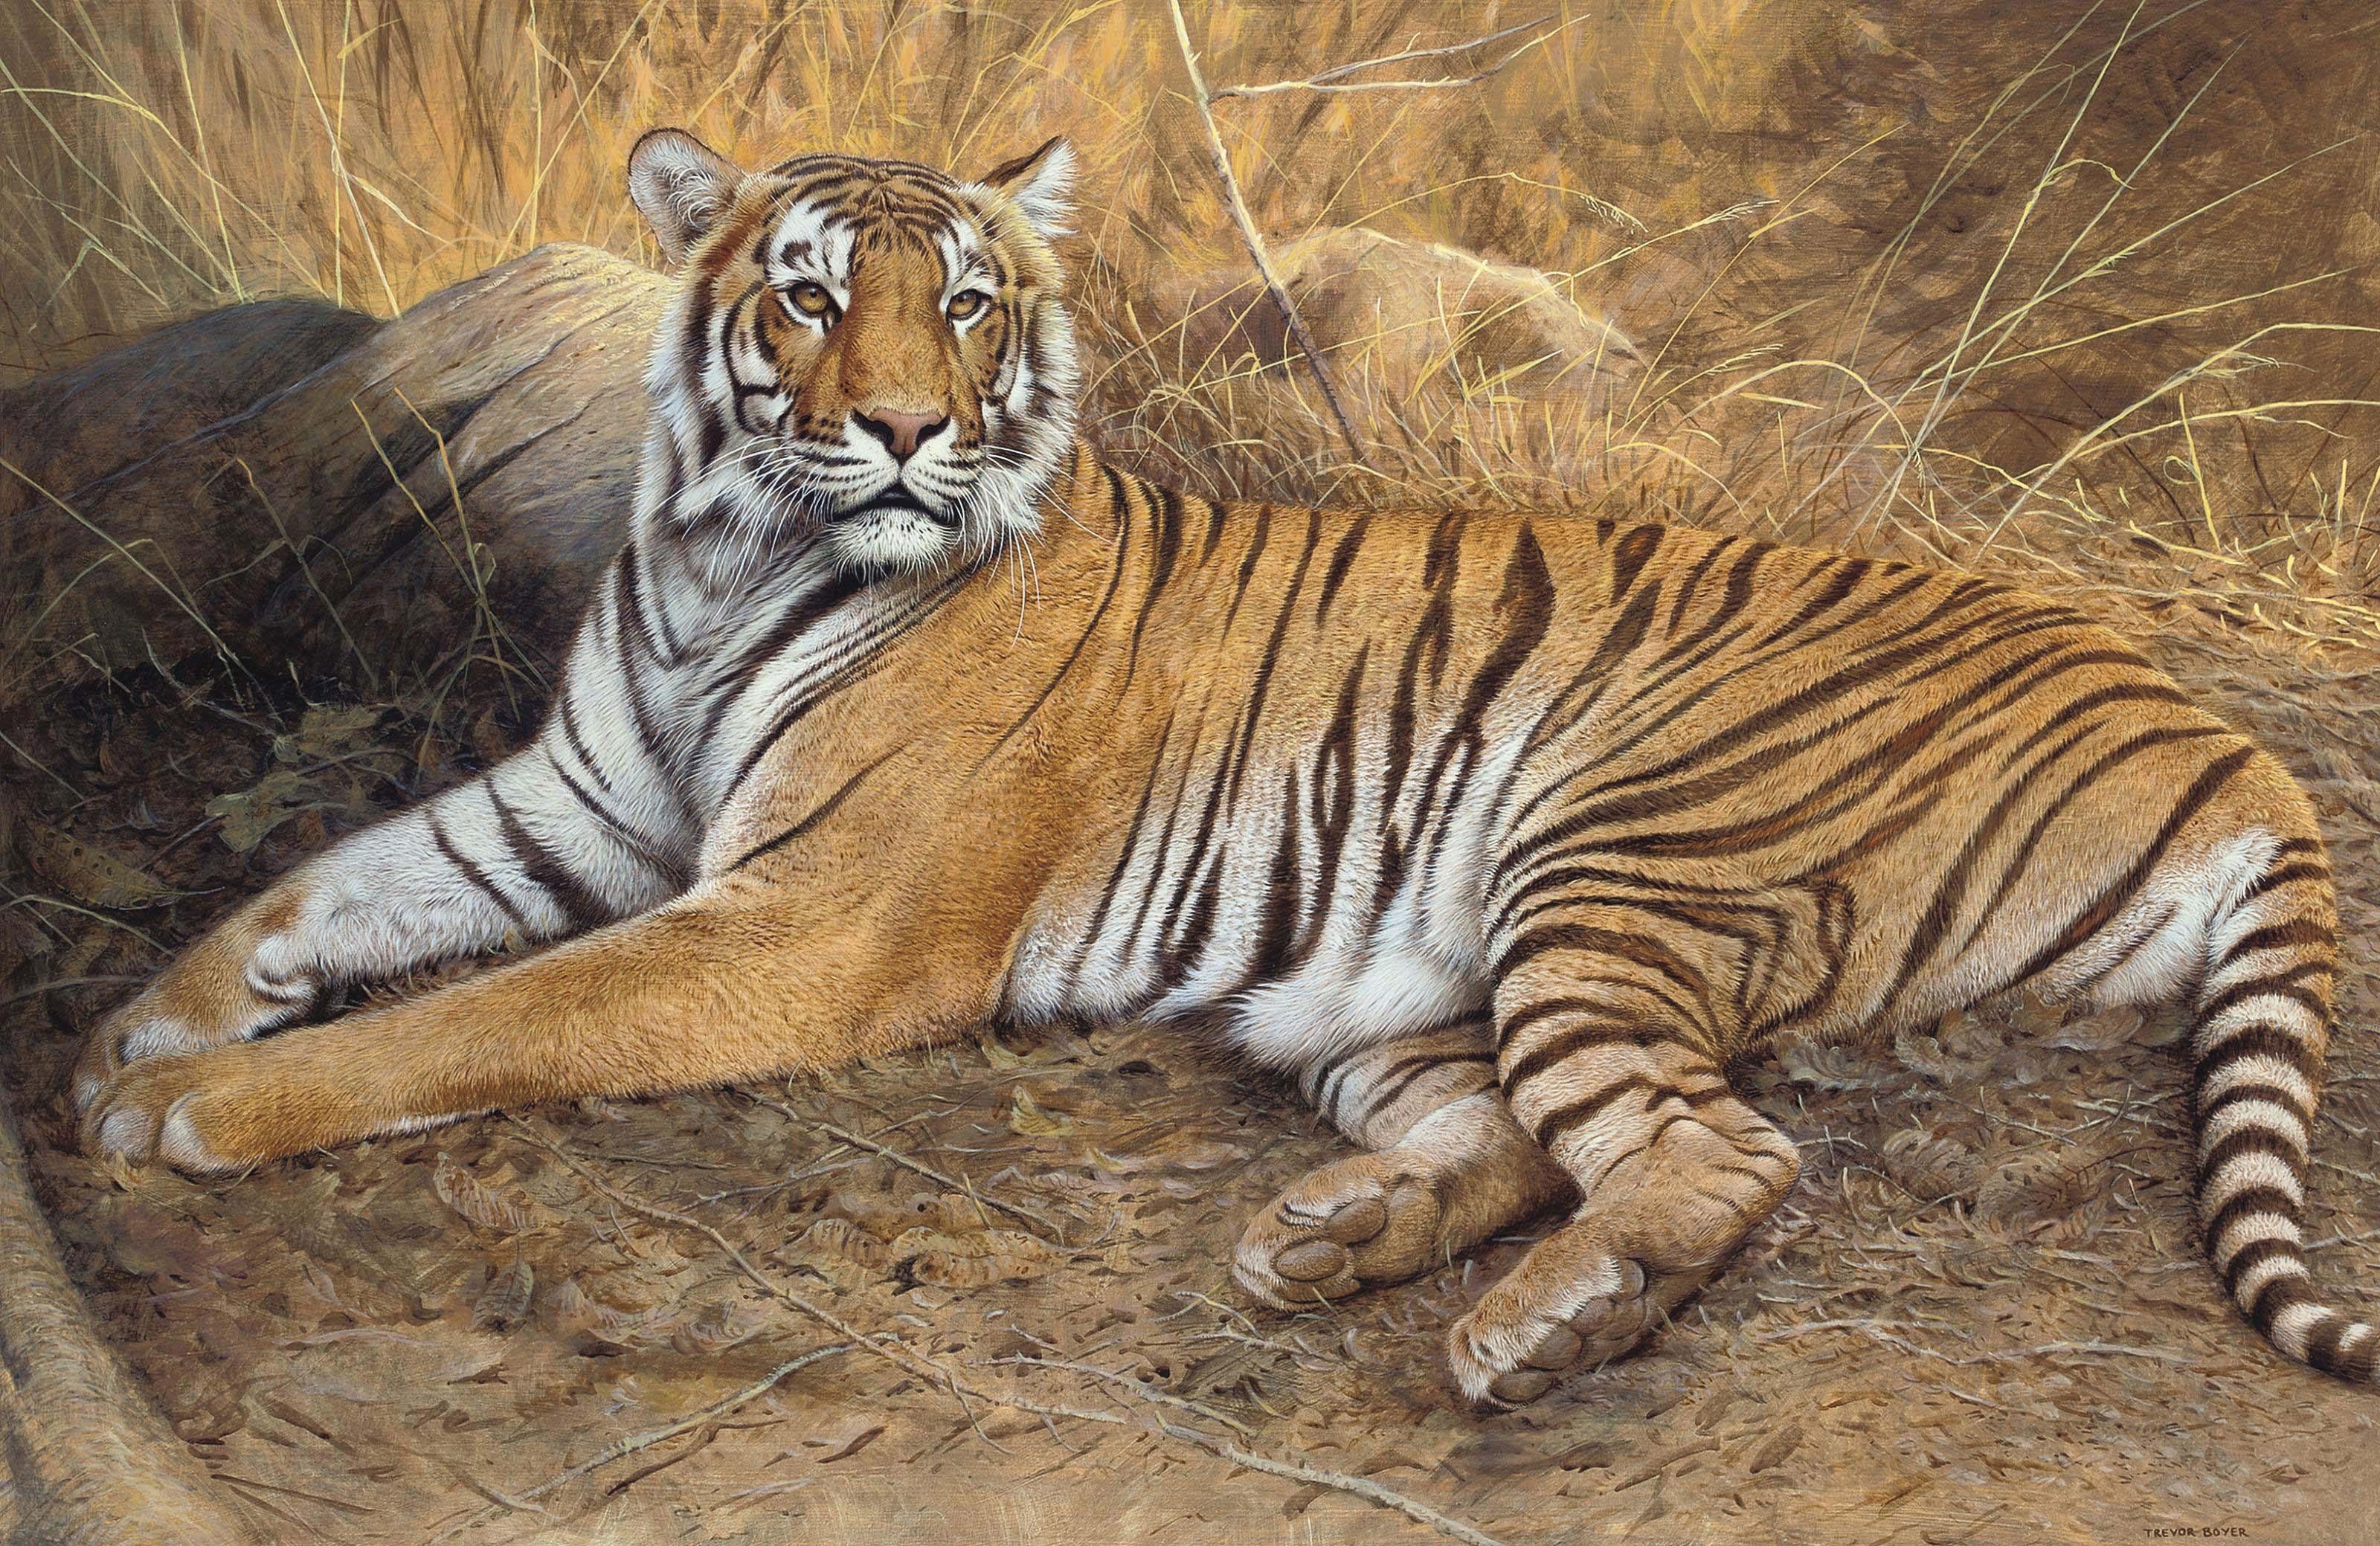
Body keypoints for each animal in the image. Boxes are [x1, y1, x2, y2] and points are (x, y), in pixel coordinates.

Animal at [74, 127, 2374, 1407]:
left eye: (968, 304)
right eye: (807, 297)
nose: (903, 431)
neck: (729, 553)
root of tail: (2216, 724)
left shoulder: (806, 923)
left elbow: (478, 1016)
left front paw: (189, 1111)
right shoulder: (580, 801)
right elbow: (316, 895)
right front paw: (125, 1043)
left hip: (1615, 851)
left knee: (1720, 1158)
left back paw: (1534, 1338)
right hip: (1383, 975)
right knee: (1527, 1131)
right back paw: (1336, 1244)